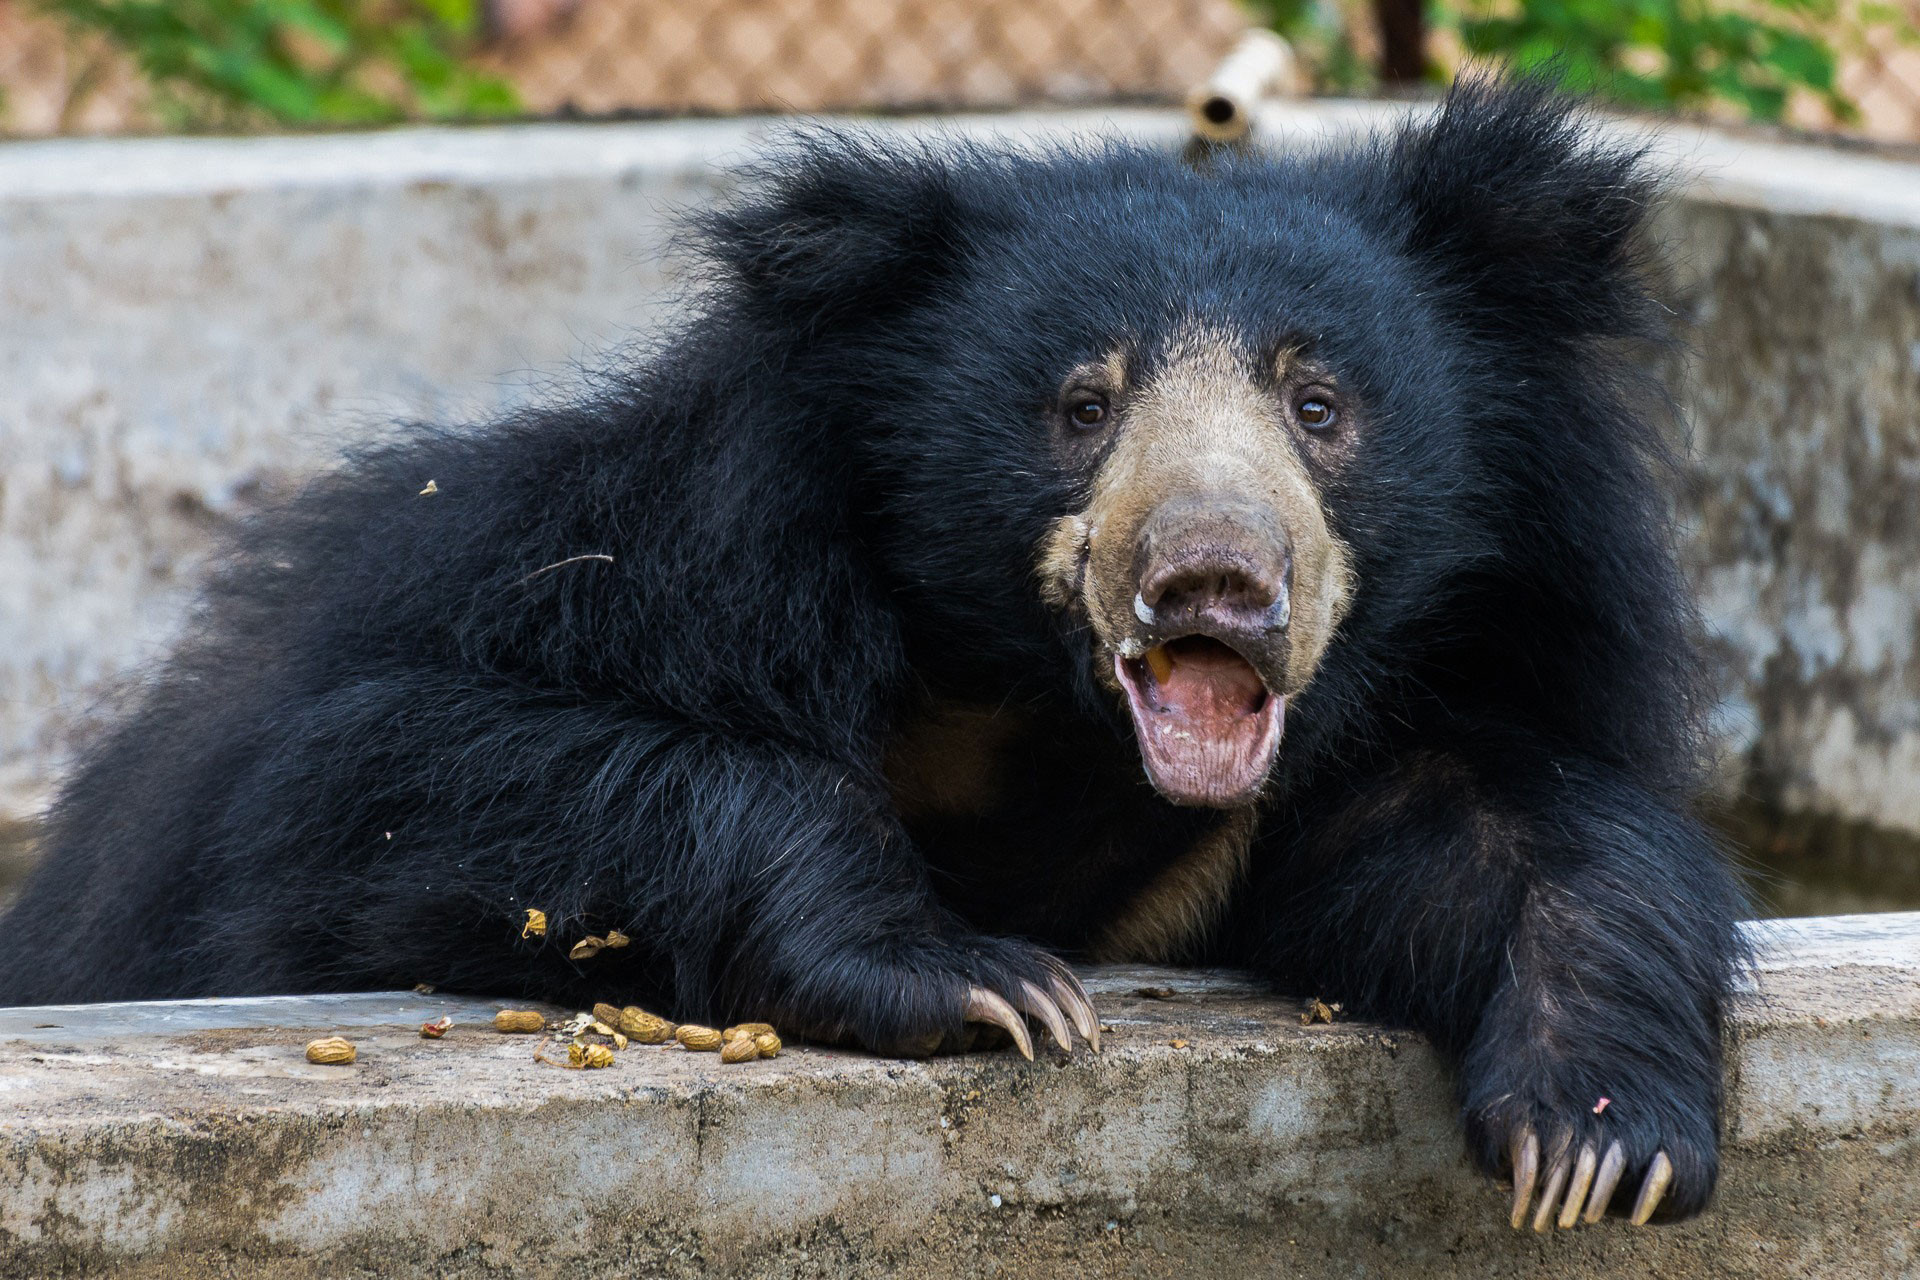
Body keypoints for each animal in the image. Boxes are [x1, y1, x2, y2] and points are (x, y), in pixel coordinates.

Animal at [0, 78, 1744, 1231]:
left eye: (1319, 404)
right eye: (1082, 402)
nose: (1216, 579)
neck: (1034, 715)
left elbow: (1505, 825)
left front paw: (1602, 1136)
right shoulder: (648, 572)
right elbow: (370, 793)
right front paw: (983, 984)